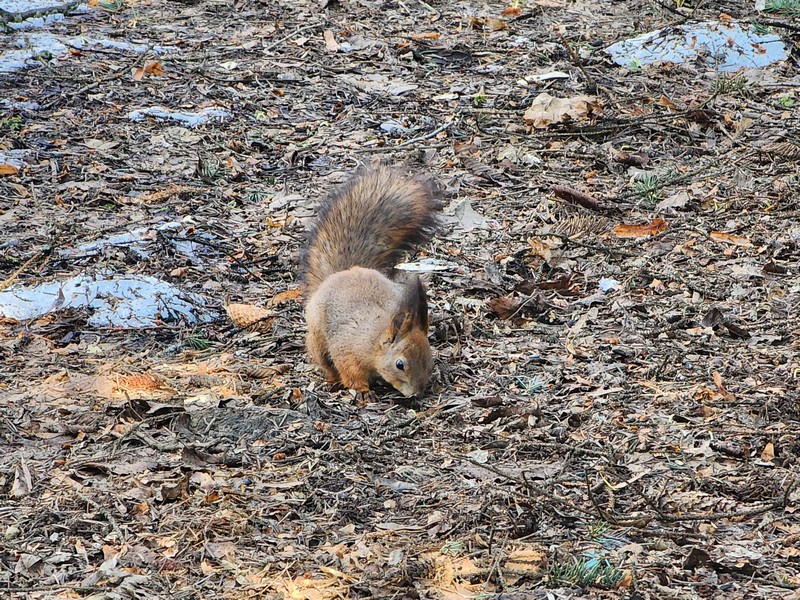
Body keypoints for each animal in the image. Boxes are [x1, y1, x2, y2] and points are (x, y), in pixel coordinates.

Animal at [302, 166, 441, 401]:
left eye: (430, 361)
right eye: (400, 364)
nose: (416, 394)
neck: (374, 339)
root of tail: (347, 271)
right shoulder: (347, 351)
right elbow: (349, 372)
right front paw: (363, 391)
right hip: (318, 338)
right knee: (325, 361)